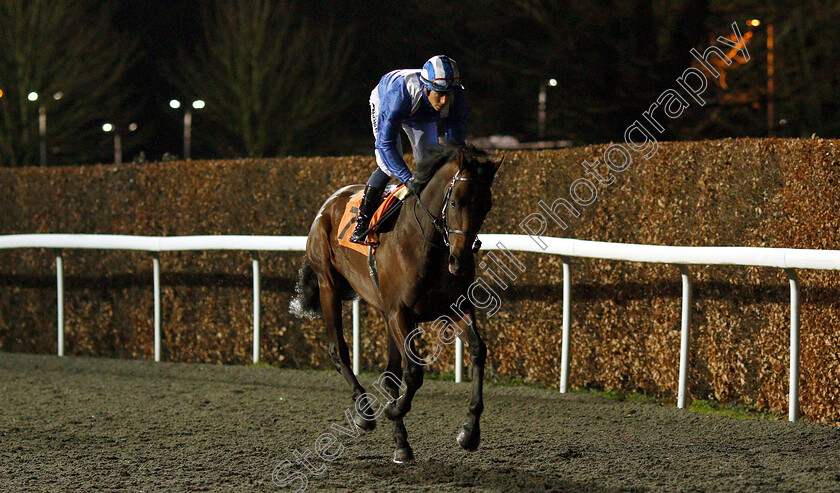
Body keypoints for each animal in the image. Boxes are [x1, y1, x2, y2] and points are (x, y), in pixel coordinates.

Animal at [292, 142, 502, 462]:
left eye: (486, 205)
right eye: (455, 202)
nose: (461, 262)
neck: (426, 245)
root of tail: (328, 204)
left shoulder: (454, 307)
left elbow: (478, 350)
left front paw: (469, 432)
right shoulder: (401, 313)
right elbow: (413, 373)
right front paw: (393, 409)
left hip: (383, 308)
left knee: (389, 373)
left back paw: (401, 444)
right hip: (329, 285)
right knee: (338, 351)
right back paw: (365, 413)